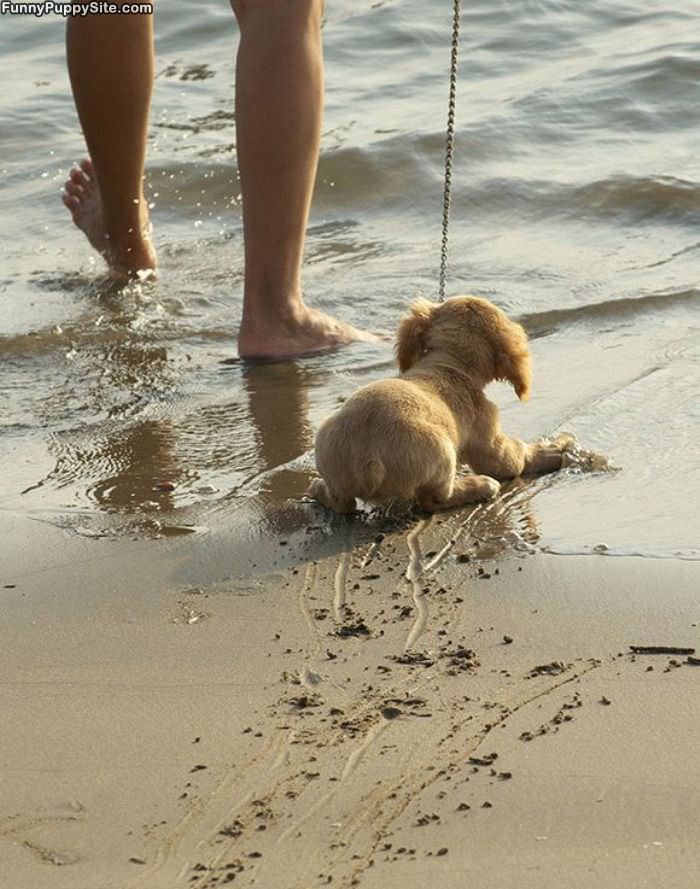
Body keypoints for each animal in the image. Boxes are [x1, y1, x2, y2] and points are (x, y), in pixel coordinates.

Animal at [308, 294, 572, 510]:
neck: (449, 364)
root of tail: (366, 459)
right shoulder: (488, 438)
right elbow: (513, 460)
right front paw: (550, 450)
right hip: (442, 450)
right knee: (433, 500)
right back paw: (480, 486)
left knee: (341, 502)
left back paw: (317, 488)